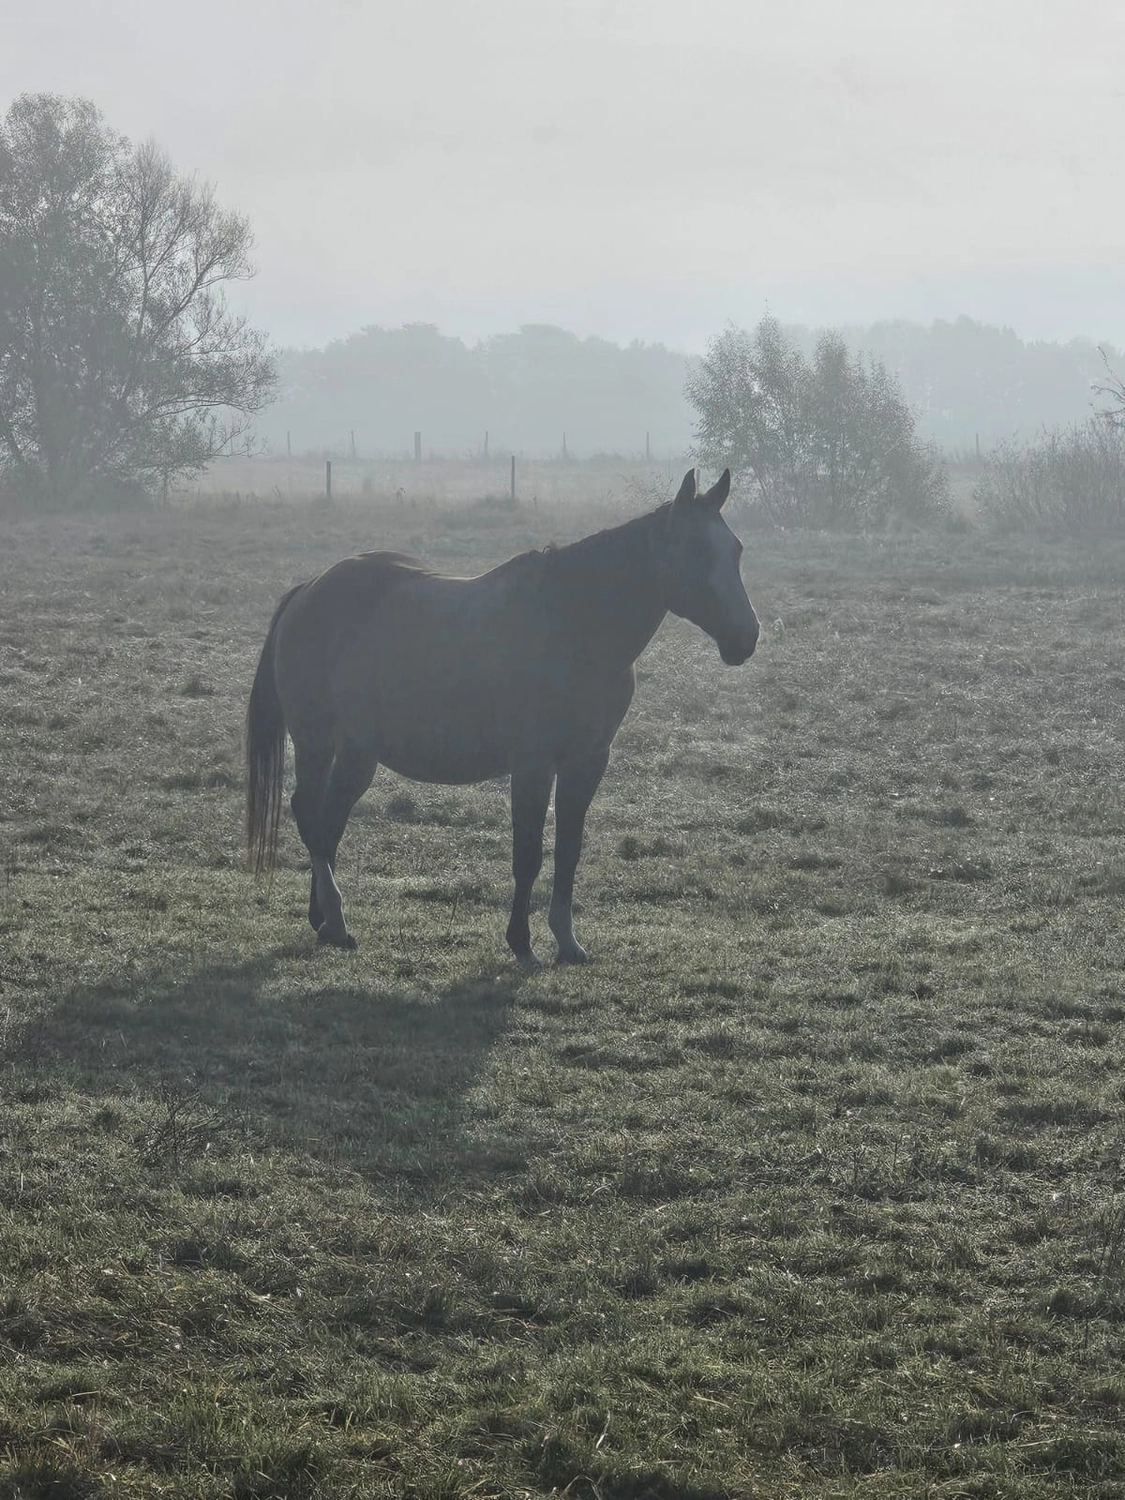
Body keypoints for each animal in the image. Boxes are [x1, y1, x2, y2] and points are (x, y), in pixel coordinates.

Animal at [246, 467, 759, 965]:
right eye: (695, 550)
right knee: (310, 816)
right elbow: (527, 854)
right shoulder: (533, 764)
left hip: (358, 752)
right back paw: (335, 920)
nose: (747, 636)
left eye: (736, 549)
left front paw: (567, 942)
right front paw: (521, 943)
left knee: (329, 823)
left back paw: (323, 921)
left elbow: (568, 850)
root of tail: (307, 591)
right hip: (316, 741)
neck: (574, 625)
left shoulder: (588, 761)